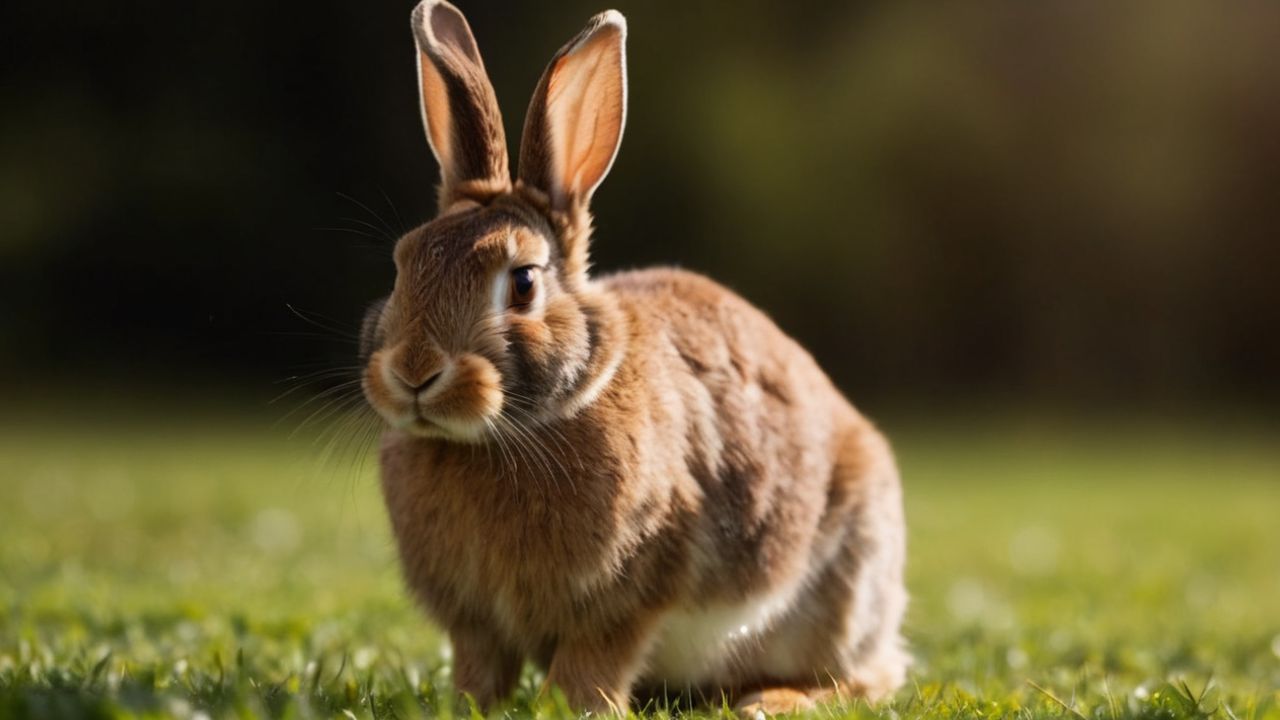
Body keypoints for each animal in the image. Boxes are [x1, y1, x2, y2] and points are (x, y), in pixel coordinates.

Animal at [360, 0, 911, 712]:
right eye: (402, 265)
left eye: (523, 282)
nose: (414, 373)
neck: (510, 432)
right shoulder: (475, 623)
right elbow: (480, 668)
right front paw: (468, 707)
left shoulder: (632, 592)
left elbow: (594, 662)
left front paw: (576, 708)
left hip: (847, 581)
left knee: (868, 677)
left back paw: (771, 702)